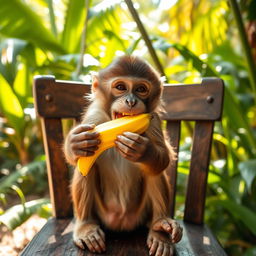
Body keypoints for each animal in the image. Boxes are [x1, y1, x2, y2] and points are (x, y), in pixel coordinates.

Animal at [65, 56, 183, 256]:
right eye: (120, 87)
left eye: (141, 89)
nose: (131, 101)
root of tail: (121, 223)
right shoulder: (94, 118)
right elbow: (75, 157)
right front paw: (75, 144)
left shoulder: (152, 121)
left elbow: (164, 158)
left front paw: (143, 151)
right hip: (102, 213)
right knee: (86, 169)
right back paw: (86, 228)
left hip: (141, 213)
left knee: (154, 173)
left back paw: (160, 229)